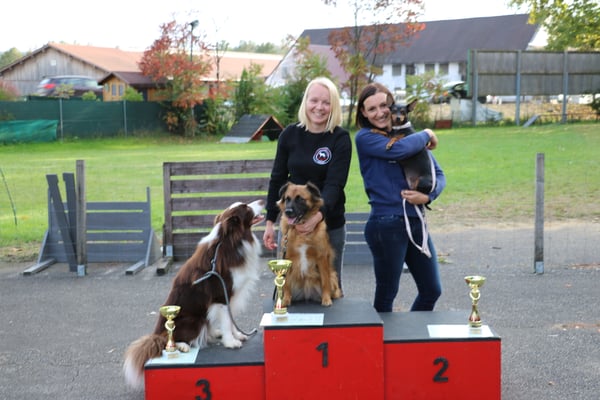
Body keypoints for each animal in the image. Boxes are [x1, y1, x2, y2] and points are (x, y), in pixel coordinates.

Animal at [123, 200, 265, 390]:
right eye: (246, 208)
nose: (262, 201)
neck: (230, 241)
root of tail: (156, 334)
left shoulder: (230, 297)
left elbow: (231, 319)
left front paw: (237, 334)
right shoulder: (221, 295)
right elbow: (227, 321)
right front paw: (231, 342)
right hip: (193, 321)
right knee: (168, 340)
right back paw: (182, 346)